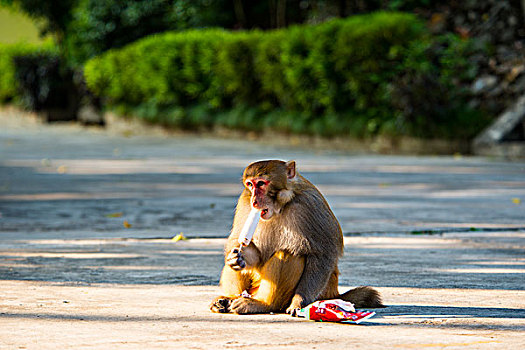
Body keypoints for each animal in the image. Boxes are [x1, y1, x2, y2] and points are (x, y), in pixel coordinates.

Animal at [210, 159, 384, 314]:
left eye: (261, 183)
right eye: (250, 185)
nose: (254, 200)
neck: (281, 205)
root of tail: (334, 294)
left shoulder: (310, 205)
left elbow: (323, 255)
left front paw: (299, 301)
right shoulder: (244, 201)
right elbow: (239, 243)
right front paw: (239, 257)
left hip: (320, 293)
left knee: (287, 253)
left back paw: (263, 304)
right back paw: (229, 298)